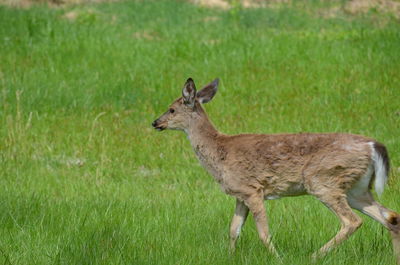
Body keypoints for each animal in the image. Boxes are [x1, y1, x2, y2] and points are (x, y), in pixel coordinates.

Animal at [152, 77, 400, 260]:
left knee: (353, 221)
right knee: (391, 216)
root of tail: (373, 145)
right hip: (356, 188)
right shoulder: (240, 194)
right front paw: (230, 256)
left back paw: (314, 256)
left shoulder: (253, 189)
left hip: (323, 180)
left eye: (171, 109)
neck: (220, 152)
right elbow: (233, 230)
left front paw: (277, 258)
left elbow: (263, 233)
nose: (155, 122)